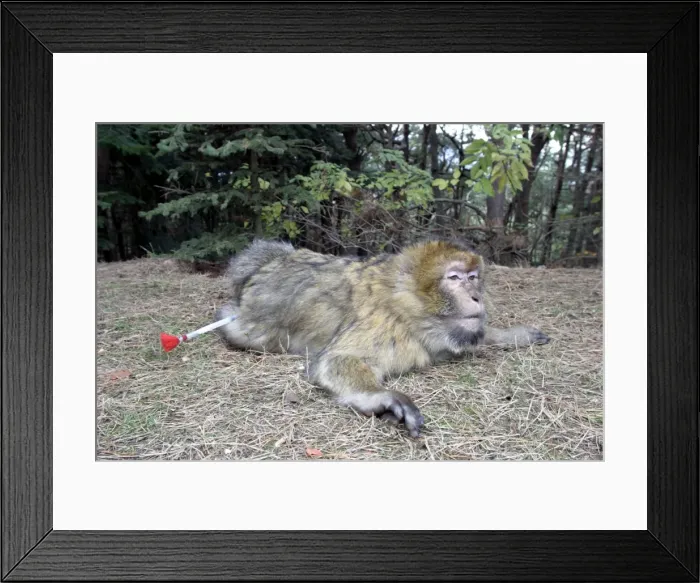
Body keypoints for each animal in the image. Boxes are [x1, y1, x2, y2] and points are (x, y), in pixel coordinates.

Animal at [214, 238, 550, 438]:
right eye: (454, 278)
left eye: (473, 277)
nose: (476, 296)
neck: (408, 310)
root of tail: (268, 265)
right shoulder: (383, 324)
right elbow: (338, 360)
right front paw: (381, 398)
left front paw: (514, 334)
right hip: (254, 323)